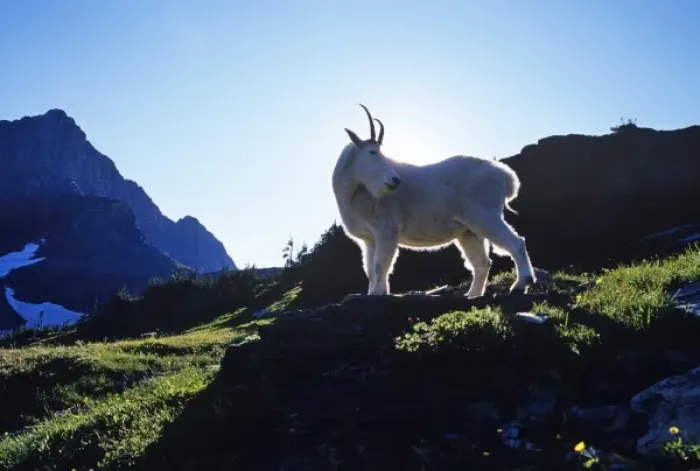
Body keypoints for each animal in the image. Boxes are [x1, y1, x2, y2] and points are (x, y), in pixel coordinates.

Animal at [331, 104, 537, 297]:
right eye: (372, 152)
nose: (395, 180)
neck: (354, 192)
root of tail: (506, 177)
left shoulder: (386, 230)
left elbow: (380, 265)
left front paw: (377, 293)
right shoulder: (369, 239)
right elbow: (370, 270)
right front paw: (373, 292)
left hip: (485, 216)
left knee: (516, 242)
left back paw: (521, 284)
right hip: (468, 231)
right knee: (482, 262)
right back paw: (472, 295)